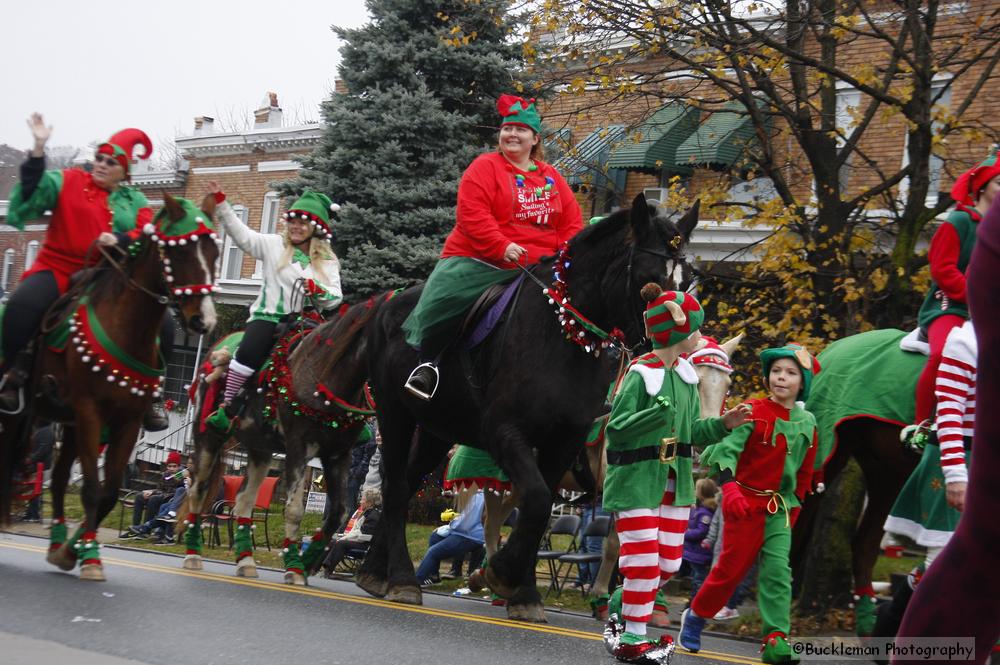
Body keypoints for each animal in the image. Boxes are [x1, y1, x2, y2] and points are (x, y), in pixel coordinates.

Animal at [0, 191, 220, 576]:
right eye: (179, 252)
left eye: (215, 252)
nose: (202, 320)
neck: (126, 324)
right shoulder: (90, 412)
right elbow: (90, 489)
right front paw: (88, 557)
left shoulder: (126, 421)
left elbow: (109, 492)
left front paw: (76, 551)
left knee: (58, 479)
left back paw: (57, 544)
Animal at [358, 195, 696, 620]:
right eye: (648, 281)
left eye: (688, 281)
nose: (673, 348)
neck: (564, 333)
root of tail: (389, 302)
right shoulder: (505, 432)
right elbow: (535, 500)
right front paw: (501, 573)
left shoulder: (563, 441)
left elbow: (542, 507)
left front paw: (523, 591)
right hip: (395, 414)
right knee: (399, 486)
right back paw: (401, 577)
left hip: (437, 429)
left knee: (404, 485)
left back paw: (375, 571)